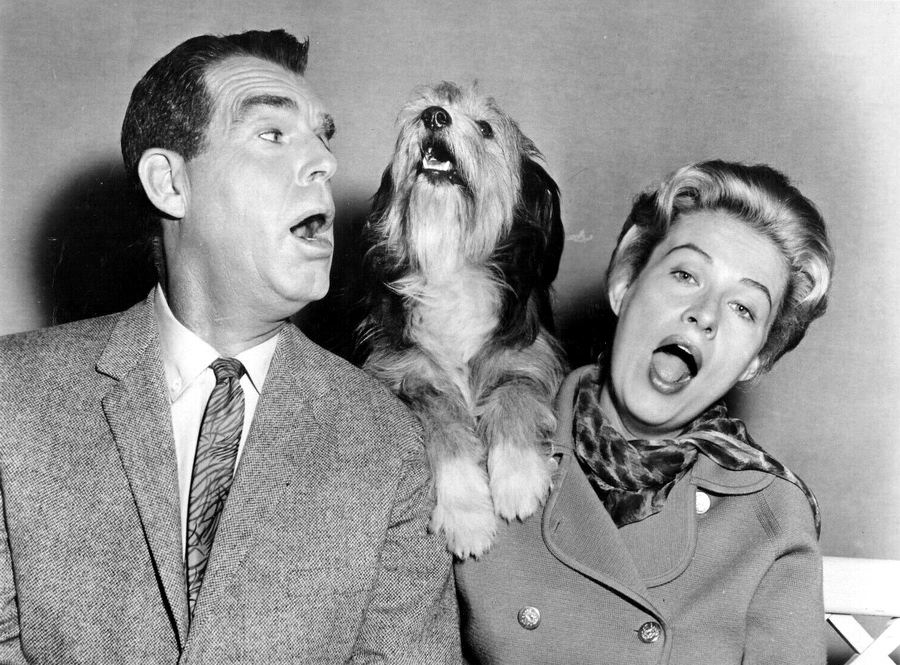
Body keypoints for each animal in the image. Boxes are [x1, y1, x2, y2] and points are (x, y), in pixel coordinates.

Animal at [360, 82, 565, 558]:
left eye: (486, 128)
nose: (434, 116)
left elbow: (513, 397)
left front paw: (518, 480)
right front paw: (467, 516)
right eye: (425, 108)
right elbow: (446, 435)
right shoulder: (412, 381)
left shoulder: (525, 359)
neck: (450, 257)